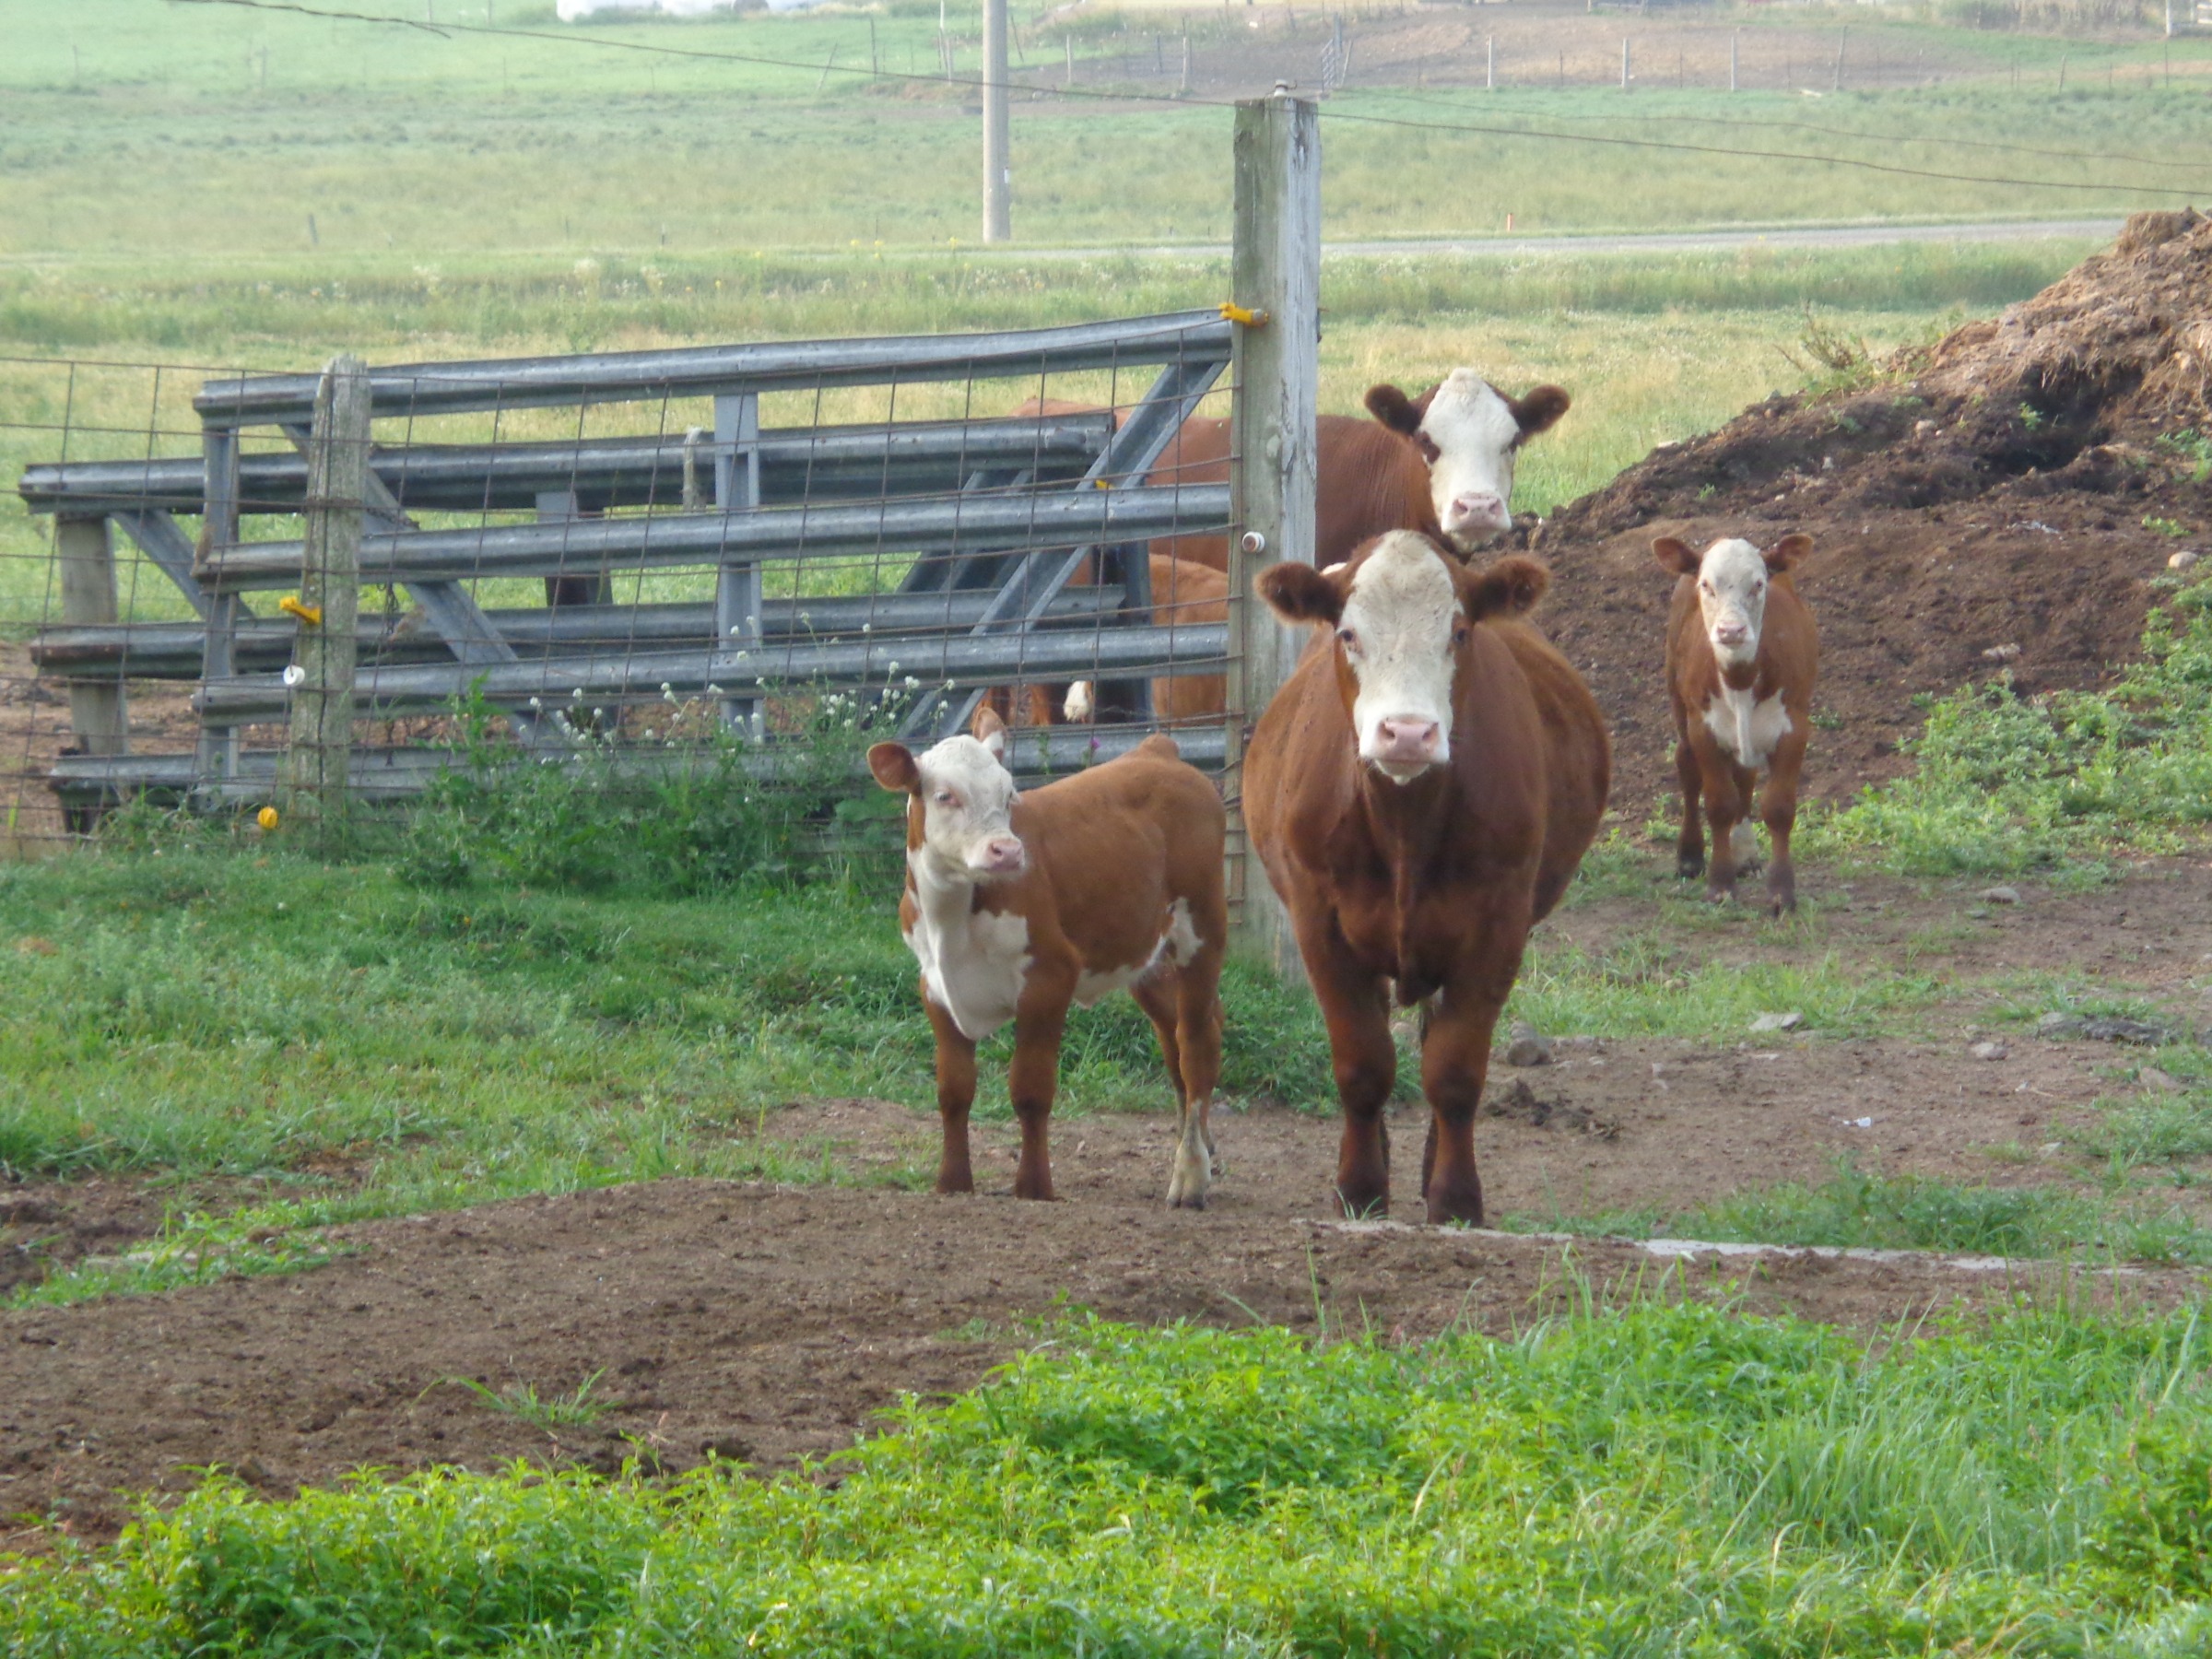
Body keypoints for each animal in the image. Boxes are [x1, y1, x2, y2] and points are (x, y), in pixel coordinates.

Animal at [1247, 533, 1610, 1220]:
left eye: (1460, 633)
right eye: (1348, 634)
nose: (1409, 733)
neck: (1404, 827)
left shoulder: (1499, 925)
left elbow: (1455, 1070)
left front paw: (1455, 1198)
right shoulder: (1318, 924)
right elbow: (1363, 1064)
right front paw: (1359, 1189)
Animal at [1654, 533, 1822, 915]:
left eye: (1758, 584)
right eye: (1707, 585)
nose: (1731, 630)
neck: (1741, 680)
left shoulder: (1794, 728)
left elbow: (1778, 807)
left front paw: (1781, 893)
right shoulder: (1704, 729)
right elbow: (1719, 803)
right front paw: (1720, 885)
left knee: (1745, 775)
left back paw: (1745, 854)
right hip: (1678, 699)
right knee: (1687, 767)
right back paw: (1690, 856)